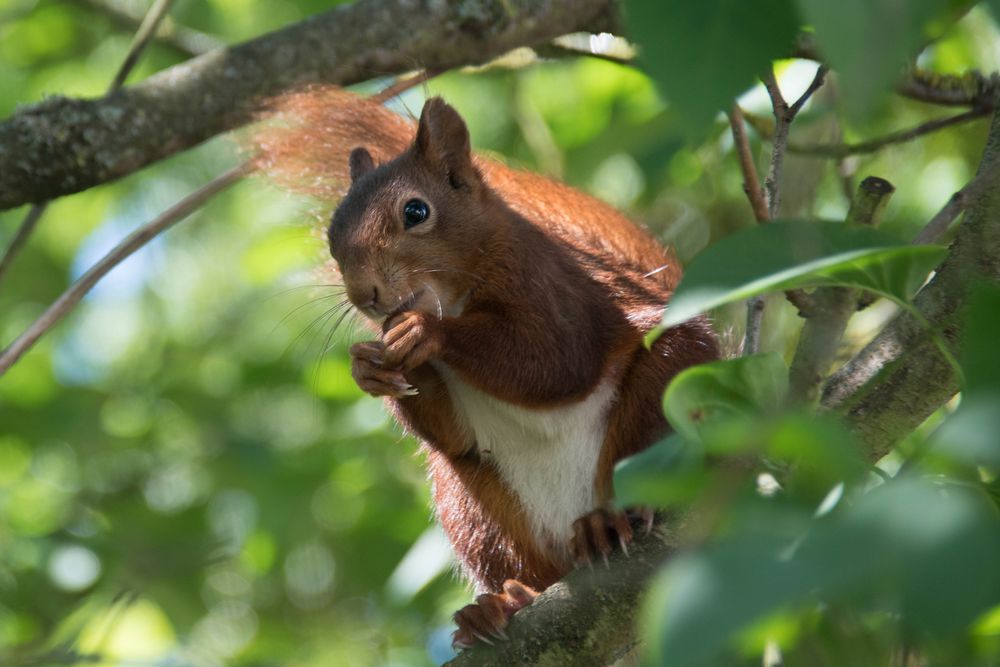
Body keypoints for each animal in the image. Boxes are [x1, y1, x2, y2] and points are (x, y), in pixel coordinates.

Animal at [254, 88, 716, 648]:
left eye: (416, 210)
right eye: (331, 236)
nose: (366, 295)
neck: (451, 296)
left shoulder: (554, 286)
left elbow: (554, 360)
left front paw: (426, 333)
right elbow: (448, 430)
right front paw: (368, 367)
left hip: (670, 390)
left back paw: (609, 521)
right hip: (473, 510)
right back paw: (507, 603)